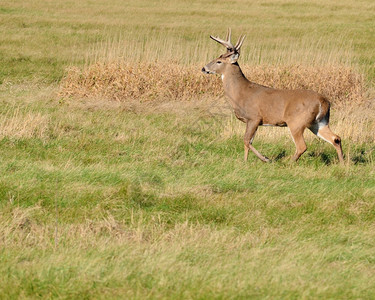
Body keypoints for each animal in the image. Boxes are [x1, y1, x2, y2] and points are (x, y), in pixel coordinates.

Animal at [201, 29, 346, 163]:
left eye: (219, 61)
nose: (204, 68)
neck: (240, 93)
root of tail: (324, 102)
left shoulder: (254, 117)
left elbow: (246, 140)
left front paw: (265, 159)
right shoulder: (253, 121)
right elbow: (249, 141)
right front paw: (246, 161)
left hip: (296, 122)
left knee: (302, 146)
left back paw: (288, 163)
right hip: (319, 122)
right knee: (336, 138)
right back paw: (342, 163)